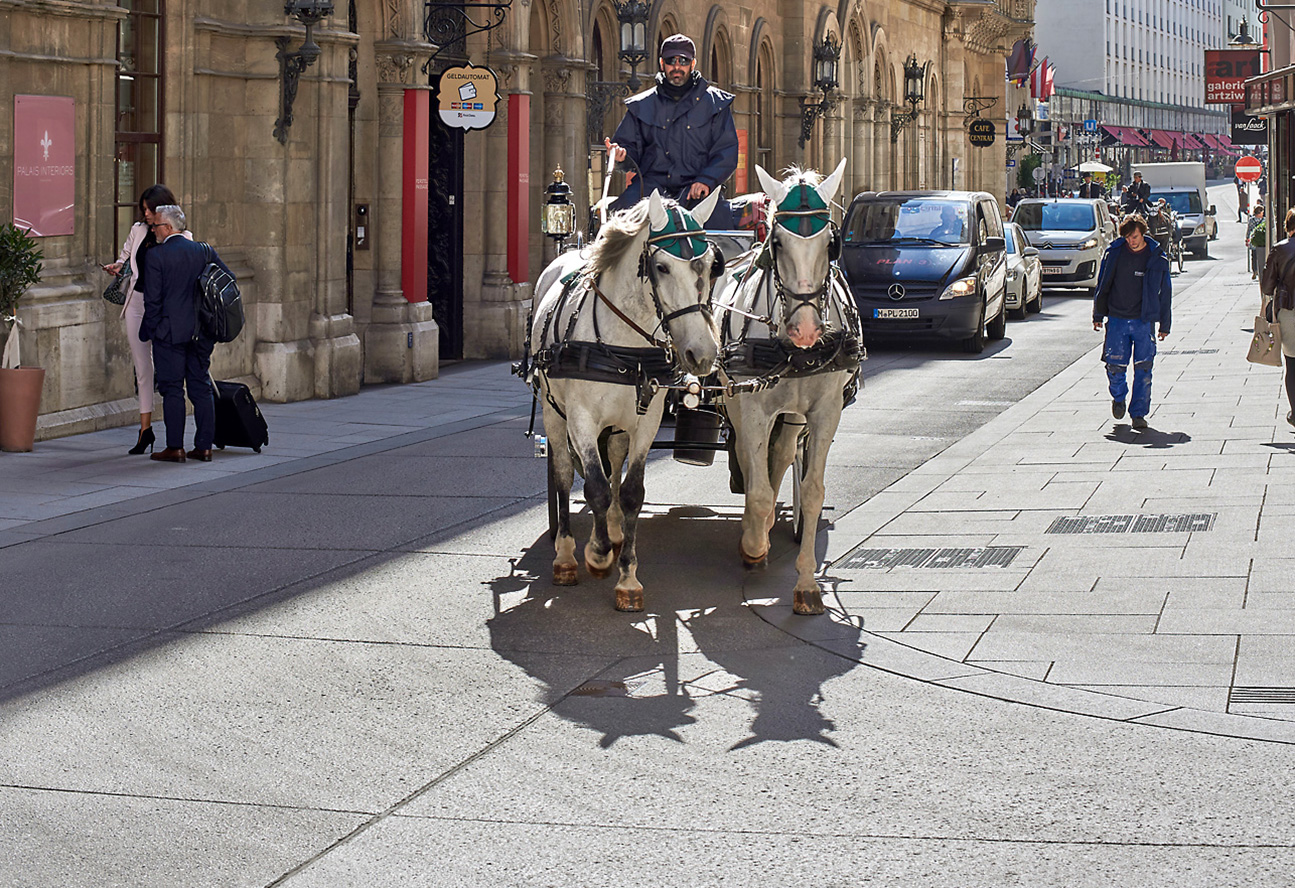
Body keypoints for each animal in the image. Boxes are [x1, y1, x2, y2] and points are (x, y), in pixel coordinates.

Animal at [528, 188, 730, 610]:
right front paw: (598, 555)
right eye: (662, 267)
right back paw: (566, 555)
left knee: (614, 464)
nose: (703, 353)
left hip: (620, 423)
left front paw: (627, 577)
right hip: (555, 415)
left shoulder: (646, 421)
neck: (625, 346)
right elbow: (594, 487)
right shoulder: (581, 418)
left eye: (710, 266)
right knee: (565, 473)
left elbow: (631, 490)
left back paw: (615, 529)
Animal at [720, 161, 859, 618]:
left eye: (831, 244)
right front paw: (753, 546)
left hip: (794, 412)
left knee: (779, 455)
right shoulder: (751, 408)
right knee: (750, 459)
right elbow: (759, 489)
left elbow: (812, 491)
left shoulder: (824, 410)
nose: (807, 330)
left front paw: (806, 586)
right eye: (776, 242)